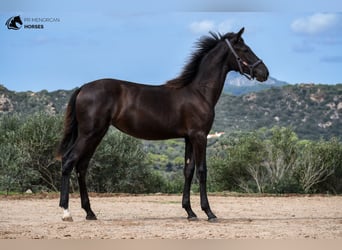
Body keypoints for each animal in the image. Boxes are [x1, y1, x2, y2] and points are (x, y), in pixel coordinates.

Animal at [57, 28, 268, 222]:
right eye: (245, 49)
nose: (264, 73)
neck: (199, 93)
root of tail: (83, 88)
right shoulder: (200, 136)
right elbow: (202, 171)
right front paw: (209, 212)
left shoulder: (189, 138)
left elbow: (188, 171)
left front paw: (190, 212)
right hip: (89, 134)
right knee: (69, 162)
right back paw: (66, 212)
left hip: (96, 134)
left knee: (82, 167)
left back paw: (90, 213)